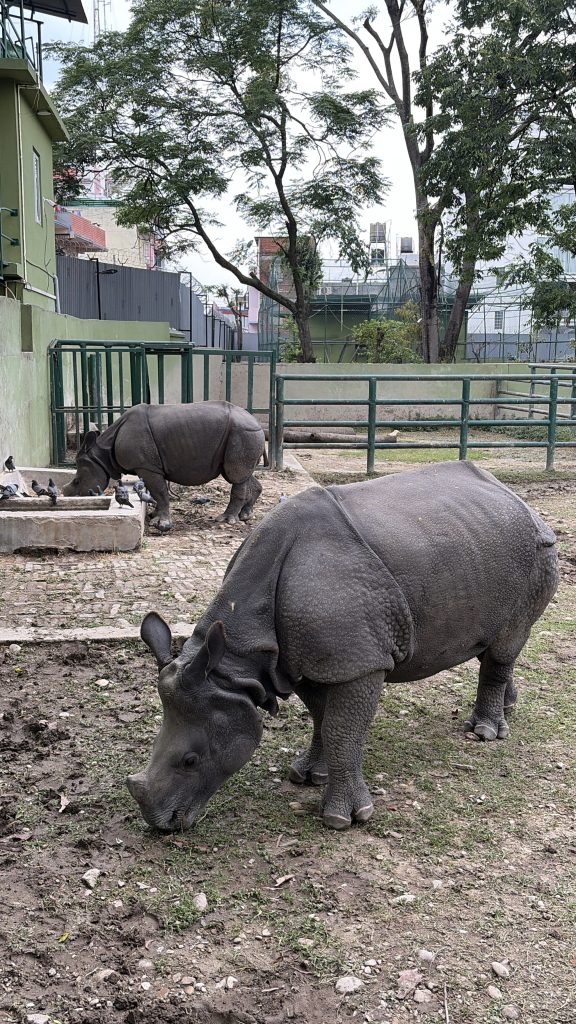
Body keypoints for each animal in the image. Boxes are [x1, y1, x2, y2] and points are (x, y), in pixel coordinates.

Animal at [62, 401, 265, 531]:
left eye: (77, 481)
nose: (66, 494)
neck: (102, 454)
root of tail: (257, 422)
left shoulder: (147, 466)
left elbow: (160, 492)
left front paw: (163, 524)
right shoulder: (148, 467)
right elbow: (157, 493)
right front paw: (154, 517)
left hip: (243, 432)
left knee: (236, 475)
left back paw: (226, 520)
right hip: (245, 433)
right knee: (244, 474)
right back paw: (245, 516)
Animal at [127, 462, 558, 832]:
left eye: (191, 760)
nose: (161, 824)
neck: (232, 666)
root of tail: (522, 502)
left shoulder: (360, 662)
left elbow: (341, 729)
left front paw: (345, 819)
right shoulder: (297, 660)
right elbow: (322, 717)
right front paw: (307, 776)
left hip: (536, 552)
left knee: (506, 643)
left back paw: (484, 733)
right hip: (479, 546)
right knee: (500, 643)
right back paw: (508, 706)